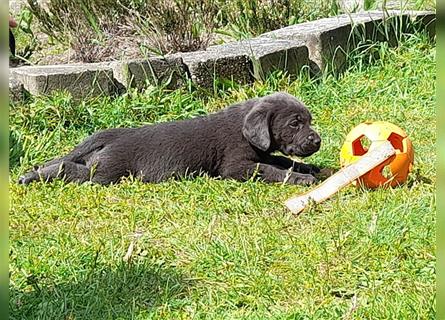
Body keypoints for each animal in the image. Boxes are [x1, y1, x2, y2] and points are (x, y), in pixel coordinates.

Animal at [20, 92, 320, 185]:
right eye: (295, 123)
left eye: (309, 120)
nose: (317, 141)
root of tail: (112, 134)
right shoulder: (236, 166)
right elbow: (273, 170)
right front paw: (301, 179)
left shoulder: (263, 152)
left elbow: (283, 160)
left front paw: (310, 168)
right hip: (107, 173)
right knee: (68, 168)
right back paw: (35, 175)